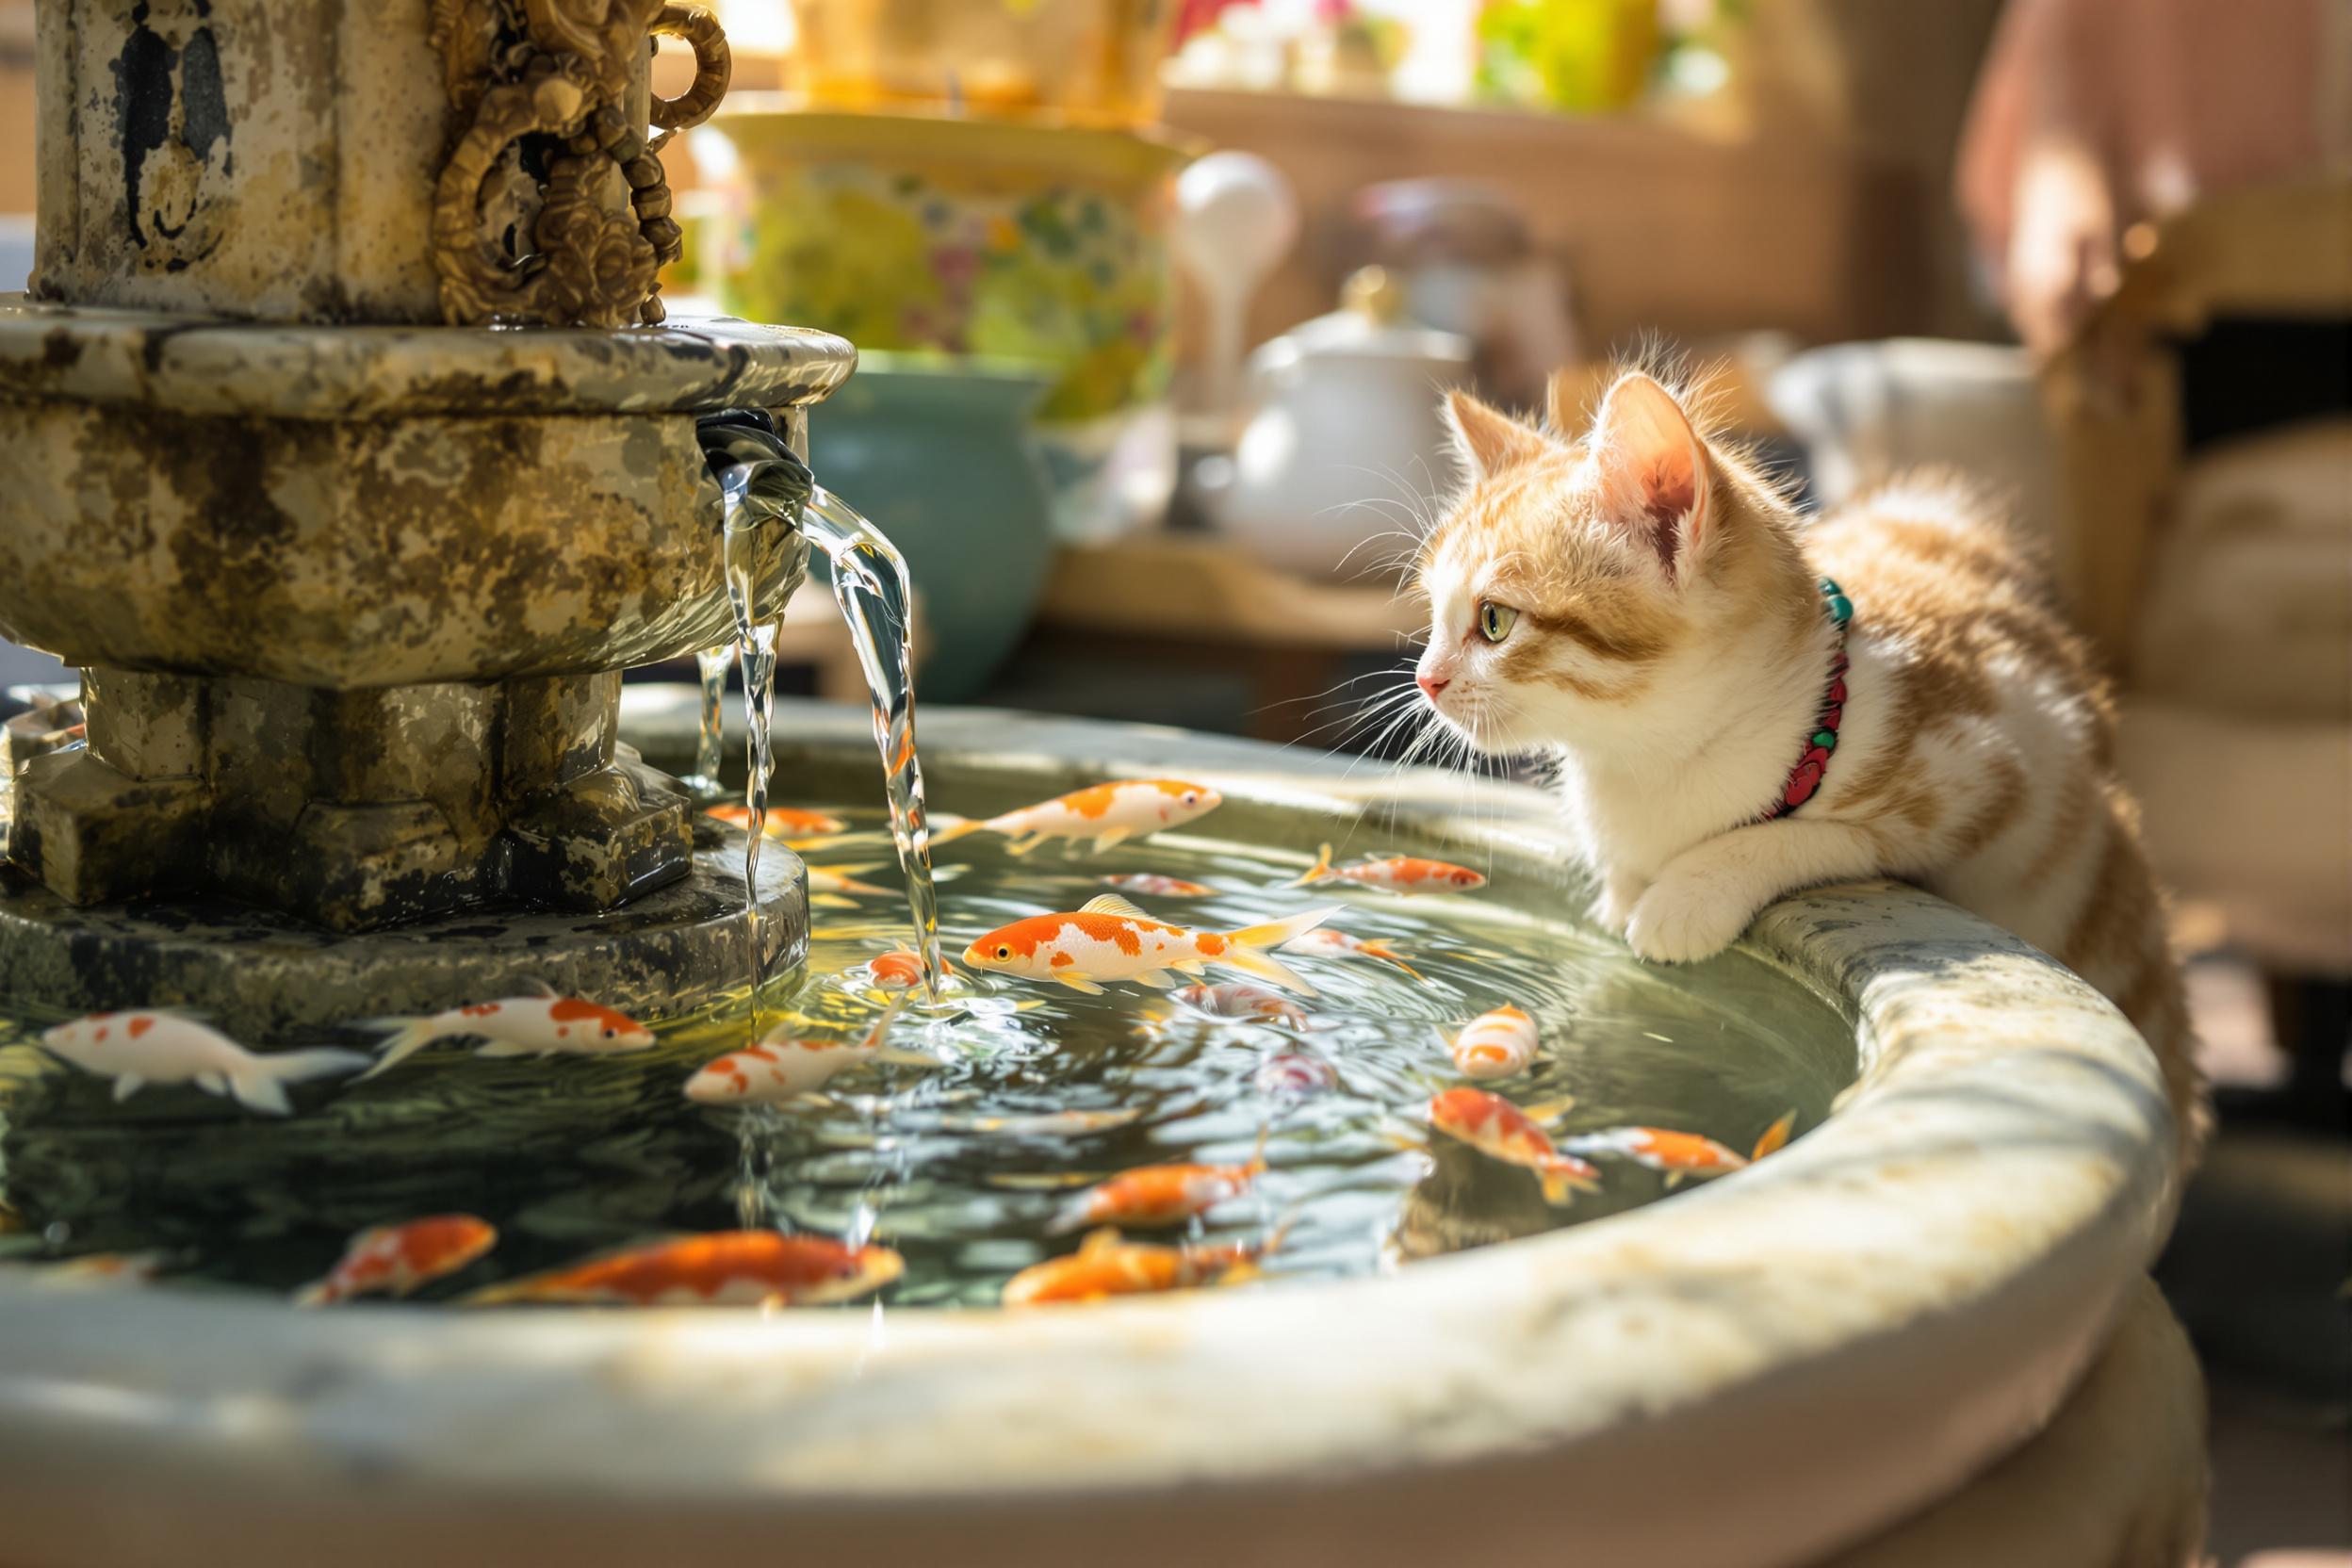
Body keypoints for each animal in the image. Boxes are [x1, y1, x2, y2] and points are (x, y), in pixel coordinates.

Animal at [1411, 364, 2201, 1152]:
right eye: (1434, 617)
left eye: (1494, 621)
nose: (1425, 678)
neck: (1648, 760)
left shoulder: (1999, 776)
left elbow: (1827, 834)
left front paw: (1689, 893)